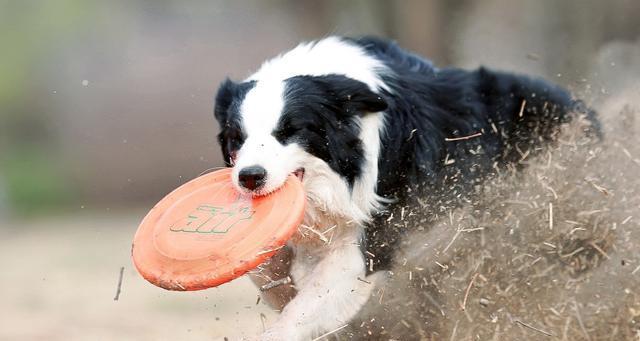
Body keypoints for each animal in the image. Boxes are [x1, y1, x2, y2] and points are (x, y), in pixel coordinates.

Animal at [214, 35, 596, 338]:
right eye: (237, 137)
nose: (250, 176)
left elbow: (308, 302)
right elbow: (267, 269)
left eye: (291, 130)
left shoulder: (369, 240)